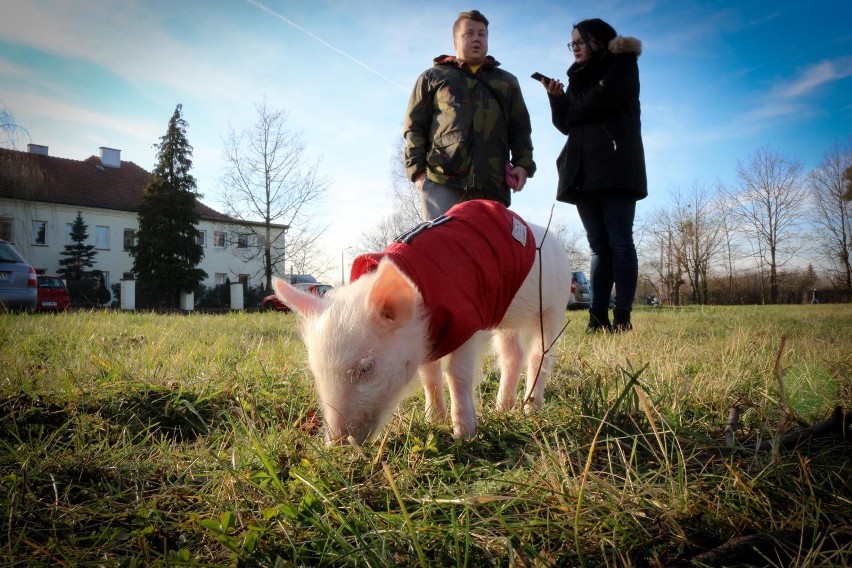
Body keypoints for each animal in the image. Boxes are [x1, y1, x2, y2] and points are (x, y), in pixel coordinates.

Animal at [276, 199, 568, 444]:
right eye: (315, 369)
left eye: (366, 367)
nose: (335, 444)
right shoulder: (432, 338)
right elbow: (429, 376)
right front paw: (433, 421)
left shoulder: (468, 322)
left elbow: (457, 374)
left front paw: (464, 435)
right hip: (506, 318)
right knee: (512, 355)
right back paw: (502, 408)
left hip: (555, 305)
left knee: (539, 354)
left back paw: (530, 410)